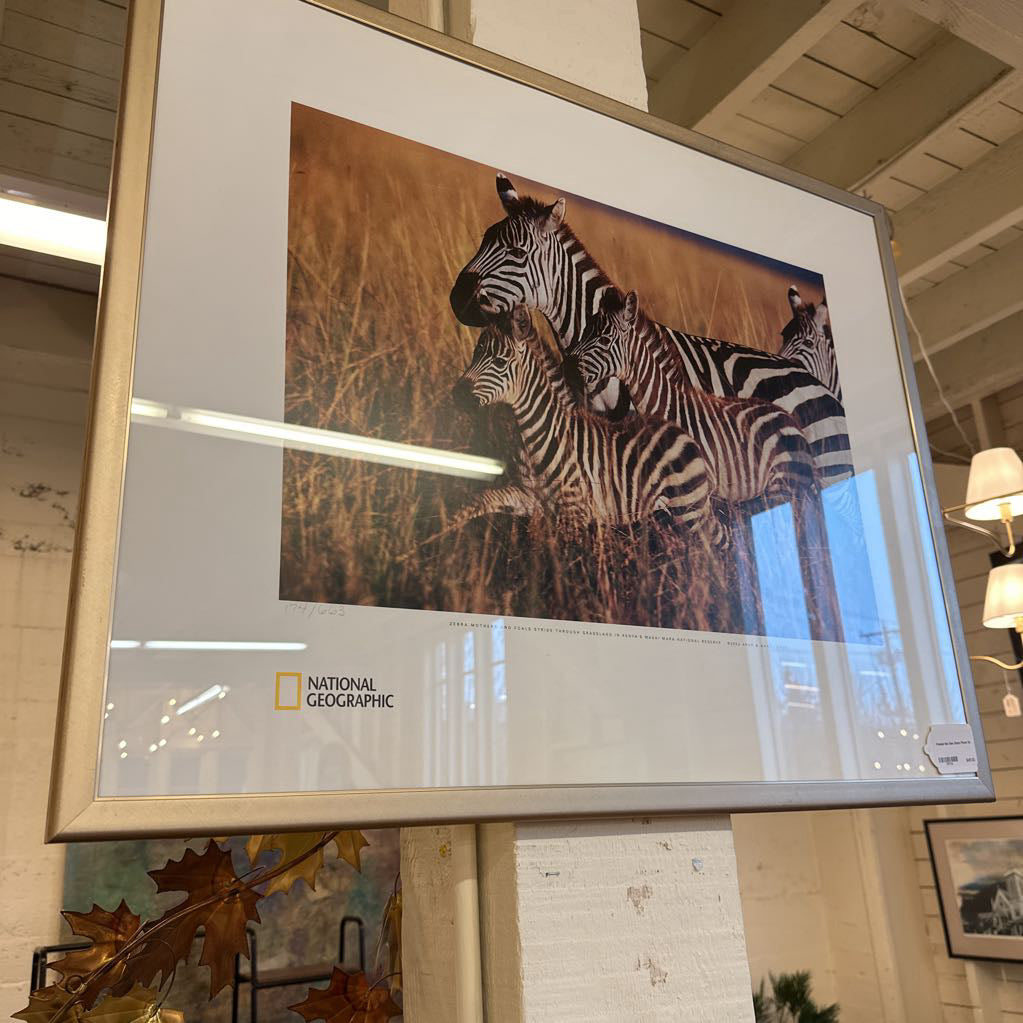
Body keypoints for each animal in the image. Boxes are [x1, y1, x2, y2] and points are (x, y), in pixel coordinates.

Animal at [450, 304, 724, 546]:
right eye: (475, 355)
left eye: (499, 362)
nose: (457, 395)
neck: (536, 433)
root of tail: (680, 430)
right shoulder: (529, 496)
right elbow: (484, 499)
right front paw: (448, 529)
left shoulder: (575, 508)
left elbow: (572, 559)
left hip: (687, 509)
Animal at [564, 289, 819, 508]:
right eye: (584, 332)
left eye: (604, 340)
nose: (567, 368)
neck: (667, 409)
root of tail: (790, 419)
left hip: (783, 487)